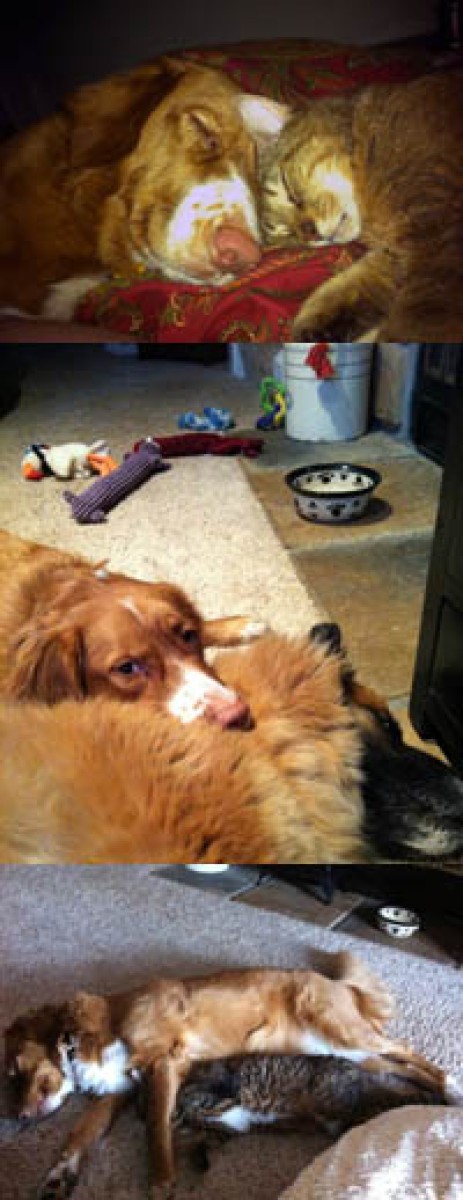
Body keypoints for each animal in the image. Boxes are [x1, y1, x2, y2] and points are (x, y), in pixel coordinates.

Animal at [5, 951, 458, 1197]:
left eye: (12, 1071)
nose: (19, 1118)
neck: (91, 1031)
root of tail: (342, 986)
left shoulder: (165, 1064)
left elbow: (156, 1131)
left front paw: (161, 1184)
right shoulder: (120, 1087)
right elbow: (81, 1133)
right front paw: (59, 1175)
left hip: (342, 1032)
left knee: (409, 1052)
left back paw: (453, 1089)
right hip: (344, 1052)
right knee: (399, 1067)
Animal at [260, 72, 463, 341]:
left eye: (289, 190)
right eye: (287, 236)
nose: (311, 233)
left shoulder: (440, 237)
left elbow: (417, 321)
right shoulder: (400, 251)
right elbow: (355, 284)